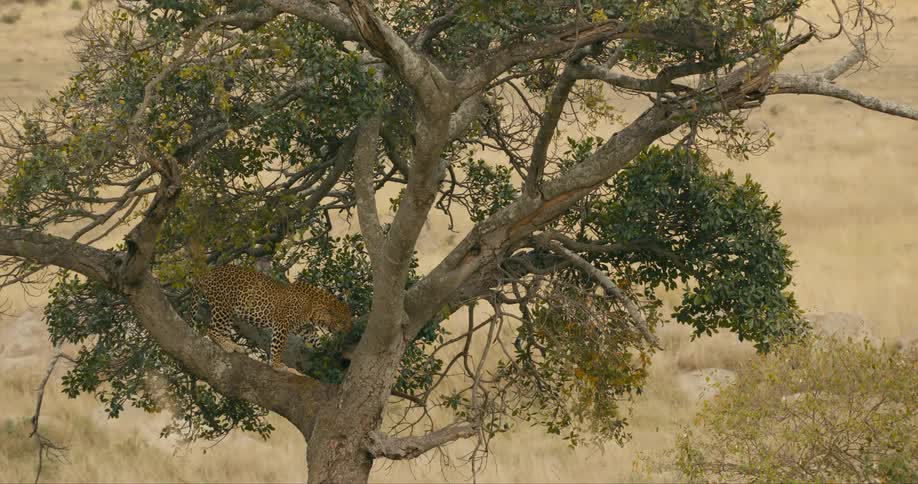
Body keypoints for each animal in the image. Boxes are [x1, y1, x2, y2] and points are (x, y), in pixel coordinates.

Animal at [195, 265, 353, 373]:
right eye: (343, 321)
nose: (349, 330)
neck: (313, 309)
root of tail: (208, 271)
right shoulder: (282, 324)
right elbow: (278, 345)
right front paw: (276, 365)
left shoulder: (304, 329)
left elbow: (316, 339)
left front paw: (330, 351)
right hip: (223, 307)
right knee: (212, 330)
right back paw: (227, 345)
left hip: (229, 313)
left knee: (223, 330)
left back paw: (234, 345)